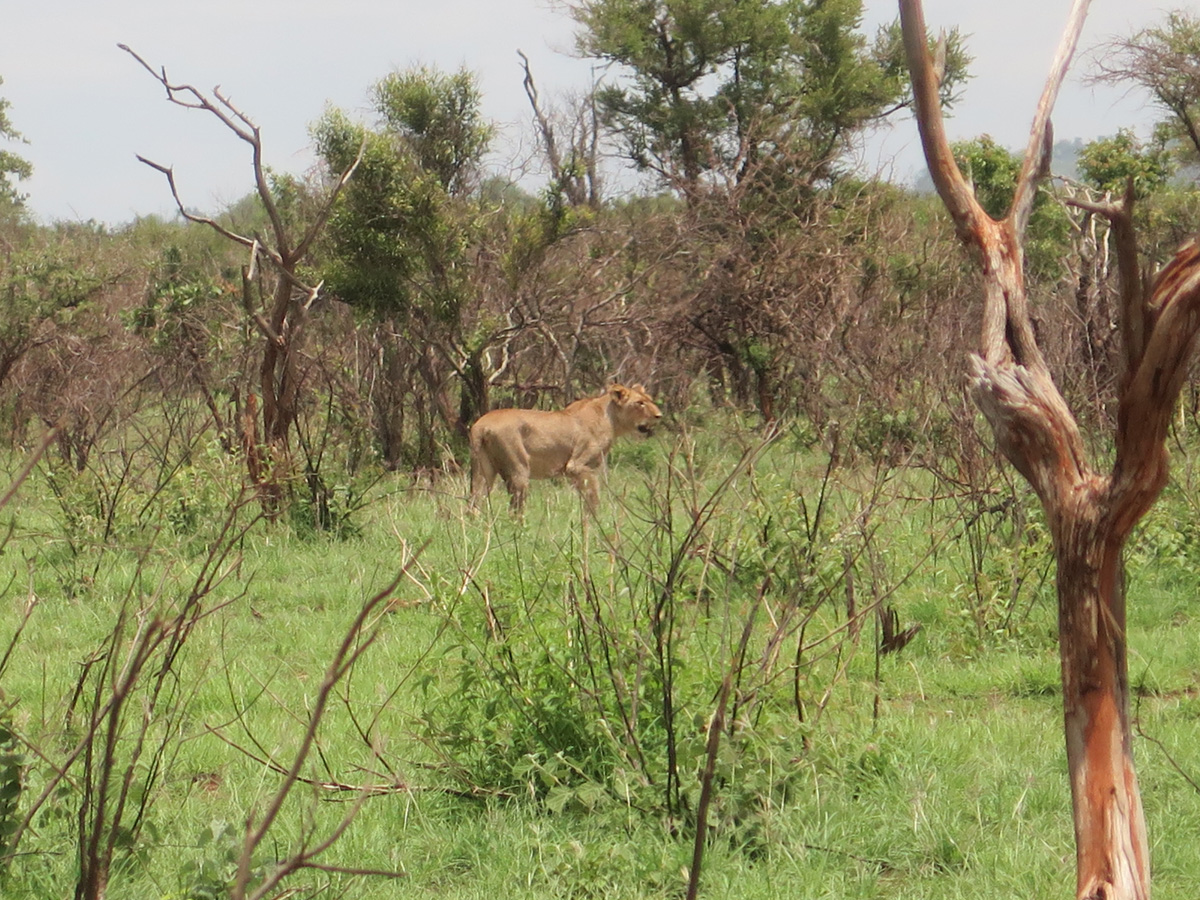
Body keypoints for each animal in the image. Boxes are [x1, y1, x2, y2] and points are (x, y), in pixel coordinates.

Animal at [469, 383, 662, 514]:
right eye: (640, 403)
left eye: (650, 400)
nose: (659, 416)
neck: (611, 418)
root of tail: (481, 425)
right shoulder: (577, 466)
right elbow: (594, 497)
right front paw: (597, 522)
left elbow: (586, 498)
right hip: (519, 470)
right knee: (515, 510)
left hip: (483, 471)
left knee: (474, 503)